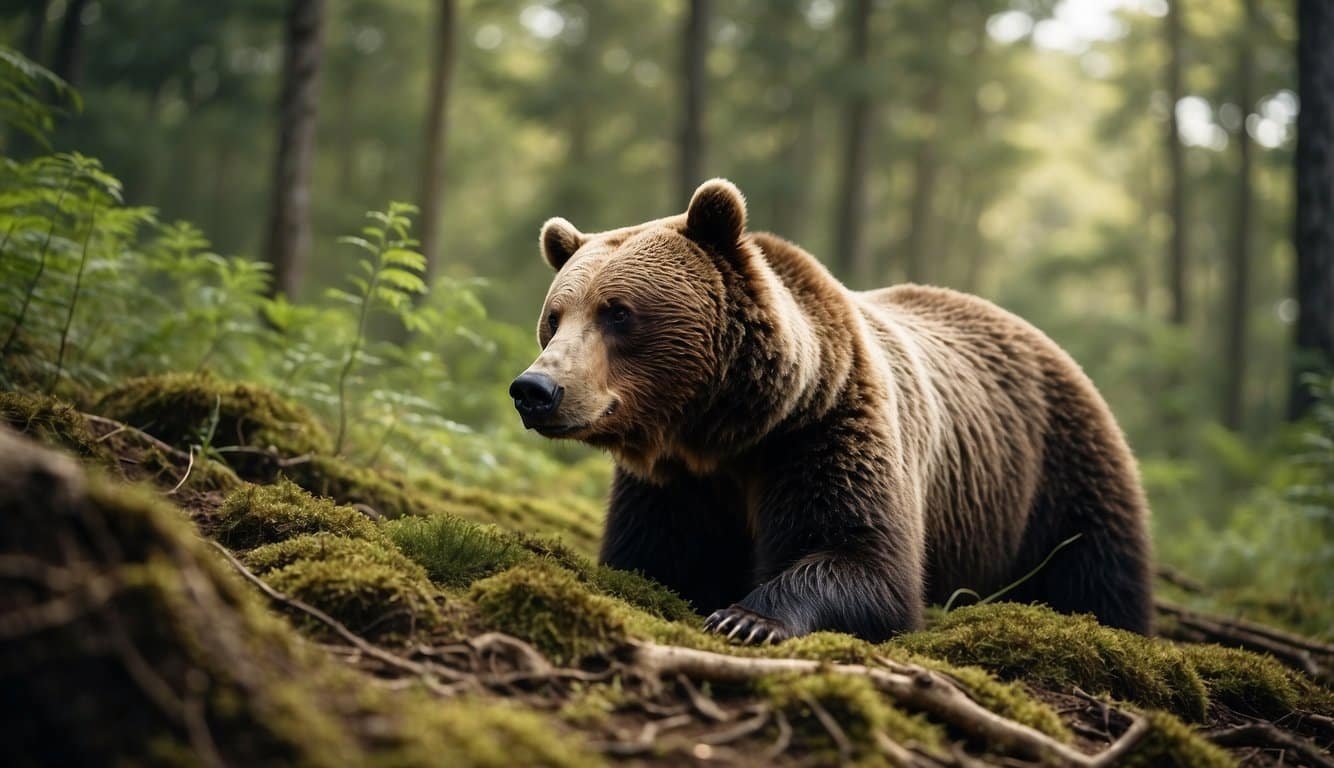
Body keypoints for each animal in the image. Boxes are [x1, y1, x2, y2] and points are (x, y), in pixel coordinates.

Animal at [509, 178, 1147, 642]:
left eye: (618, 312)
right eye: (555, 316)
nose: (535, 388)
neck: (726, 431)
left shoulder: (829, 431)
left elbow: (867, 561)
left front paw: (748, 617)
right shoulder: (676, 485)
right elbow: (650, 556)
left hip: (1060, 475)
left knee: (1098, 572)